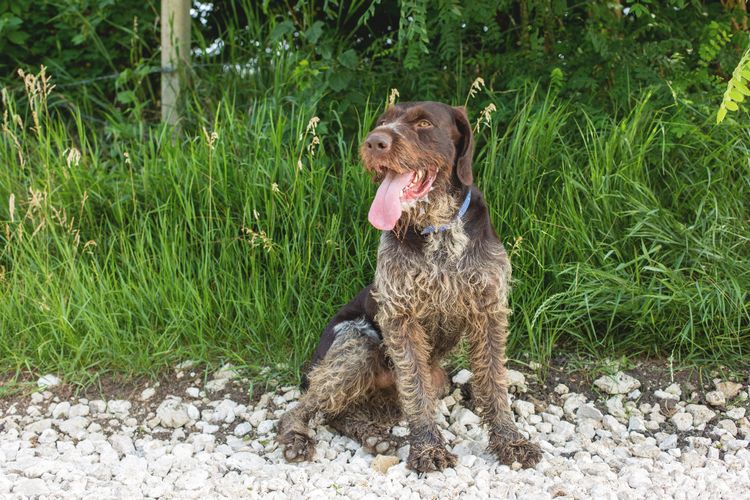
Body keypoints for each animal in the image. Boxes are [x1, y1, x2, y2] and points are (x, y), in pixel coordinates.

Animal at [280, 99, 544, 470]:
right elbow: (415, 388)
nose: (374, 141)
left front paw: (510, 440)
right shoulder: (401, 317)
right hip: (357, 345)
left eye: (423, 123)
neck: (439, 228)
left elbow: (493, 381)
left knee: (342, 413)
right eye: (383, 121)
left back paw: (373, 435)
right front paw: (428, 448)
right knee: (304, 409)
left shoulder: (488, 310)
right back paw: (297, 438)